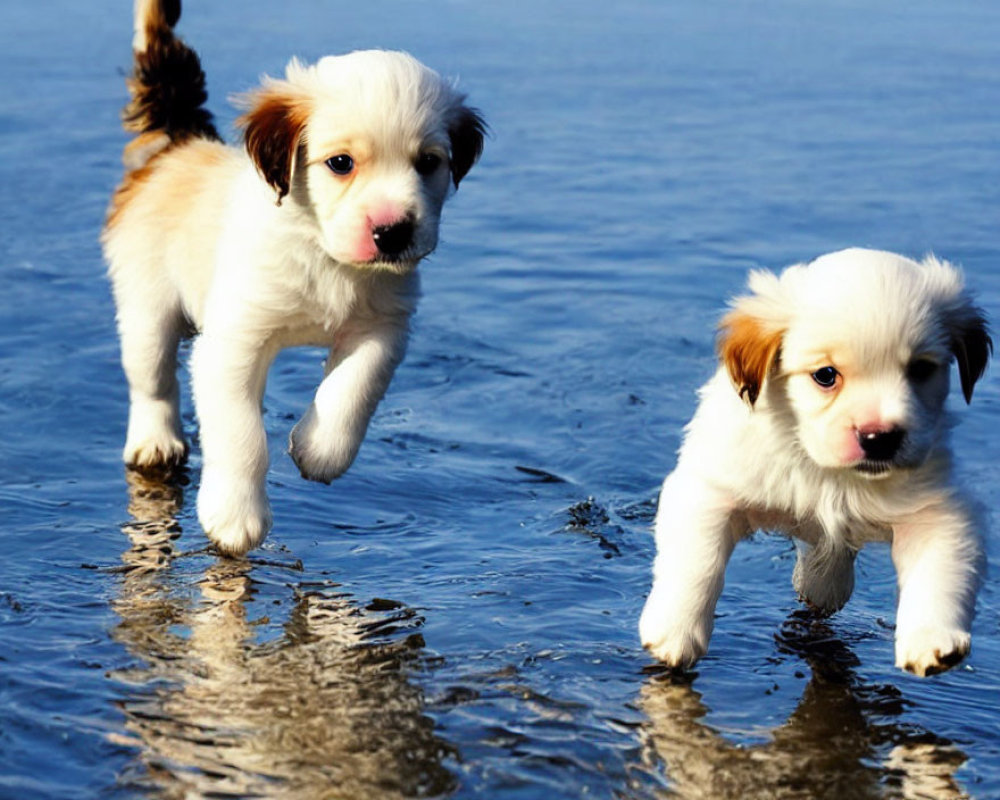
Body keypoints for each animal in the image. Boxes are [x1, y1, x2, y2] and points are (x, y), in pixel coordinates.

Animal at [103, 0, 486, 556]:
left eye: (428, 163)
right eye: (341, 163)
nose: (393, 231)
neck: (325, 257)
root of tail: (178, 147)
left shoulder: (382, 329)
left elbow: (352, 392)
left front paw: (319, 451)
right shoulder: (233, 343)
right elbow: (241, 435)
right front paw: (234, 515)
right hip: (146, 306)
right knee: (151, 380)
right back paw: (154, 440)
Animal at [640, 250, 992, 676]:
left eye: (921, 369)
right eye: (826, 375)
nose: (879, 437)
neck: (828, 474)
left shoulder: (938, 512)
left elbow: (940, 572)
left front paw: (933, 640)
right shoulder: (709, 490)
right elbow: (697, 561)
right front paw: (674, 631)